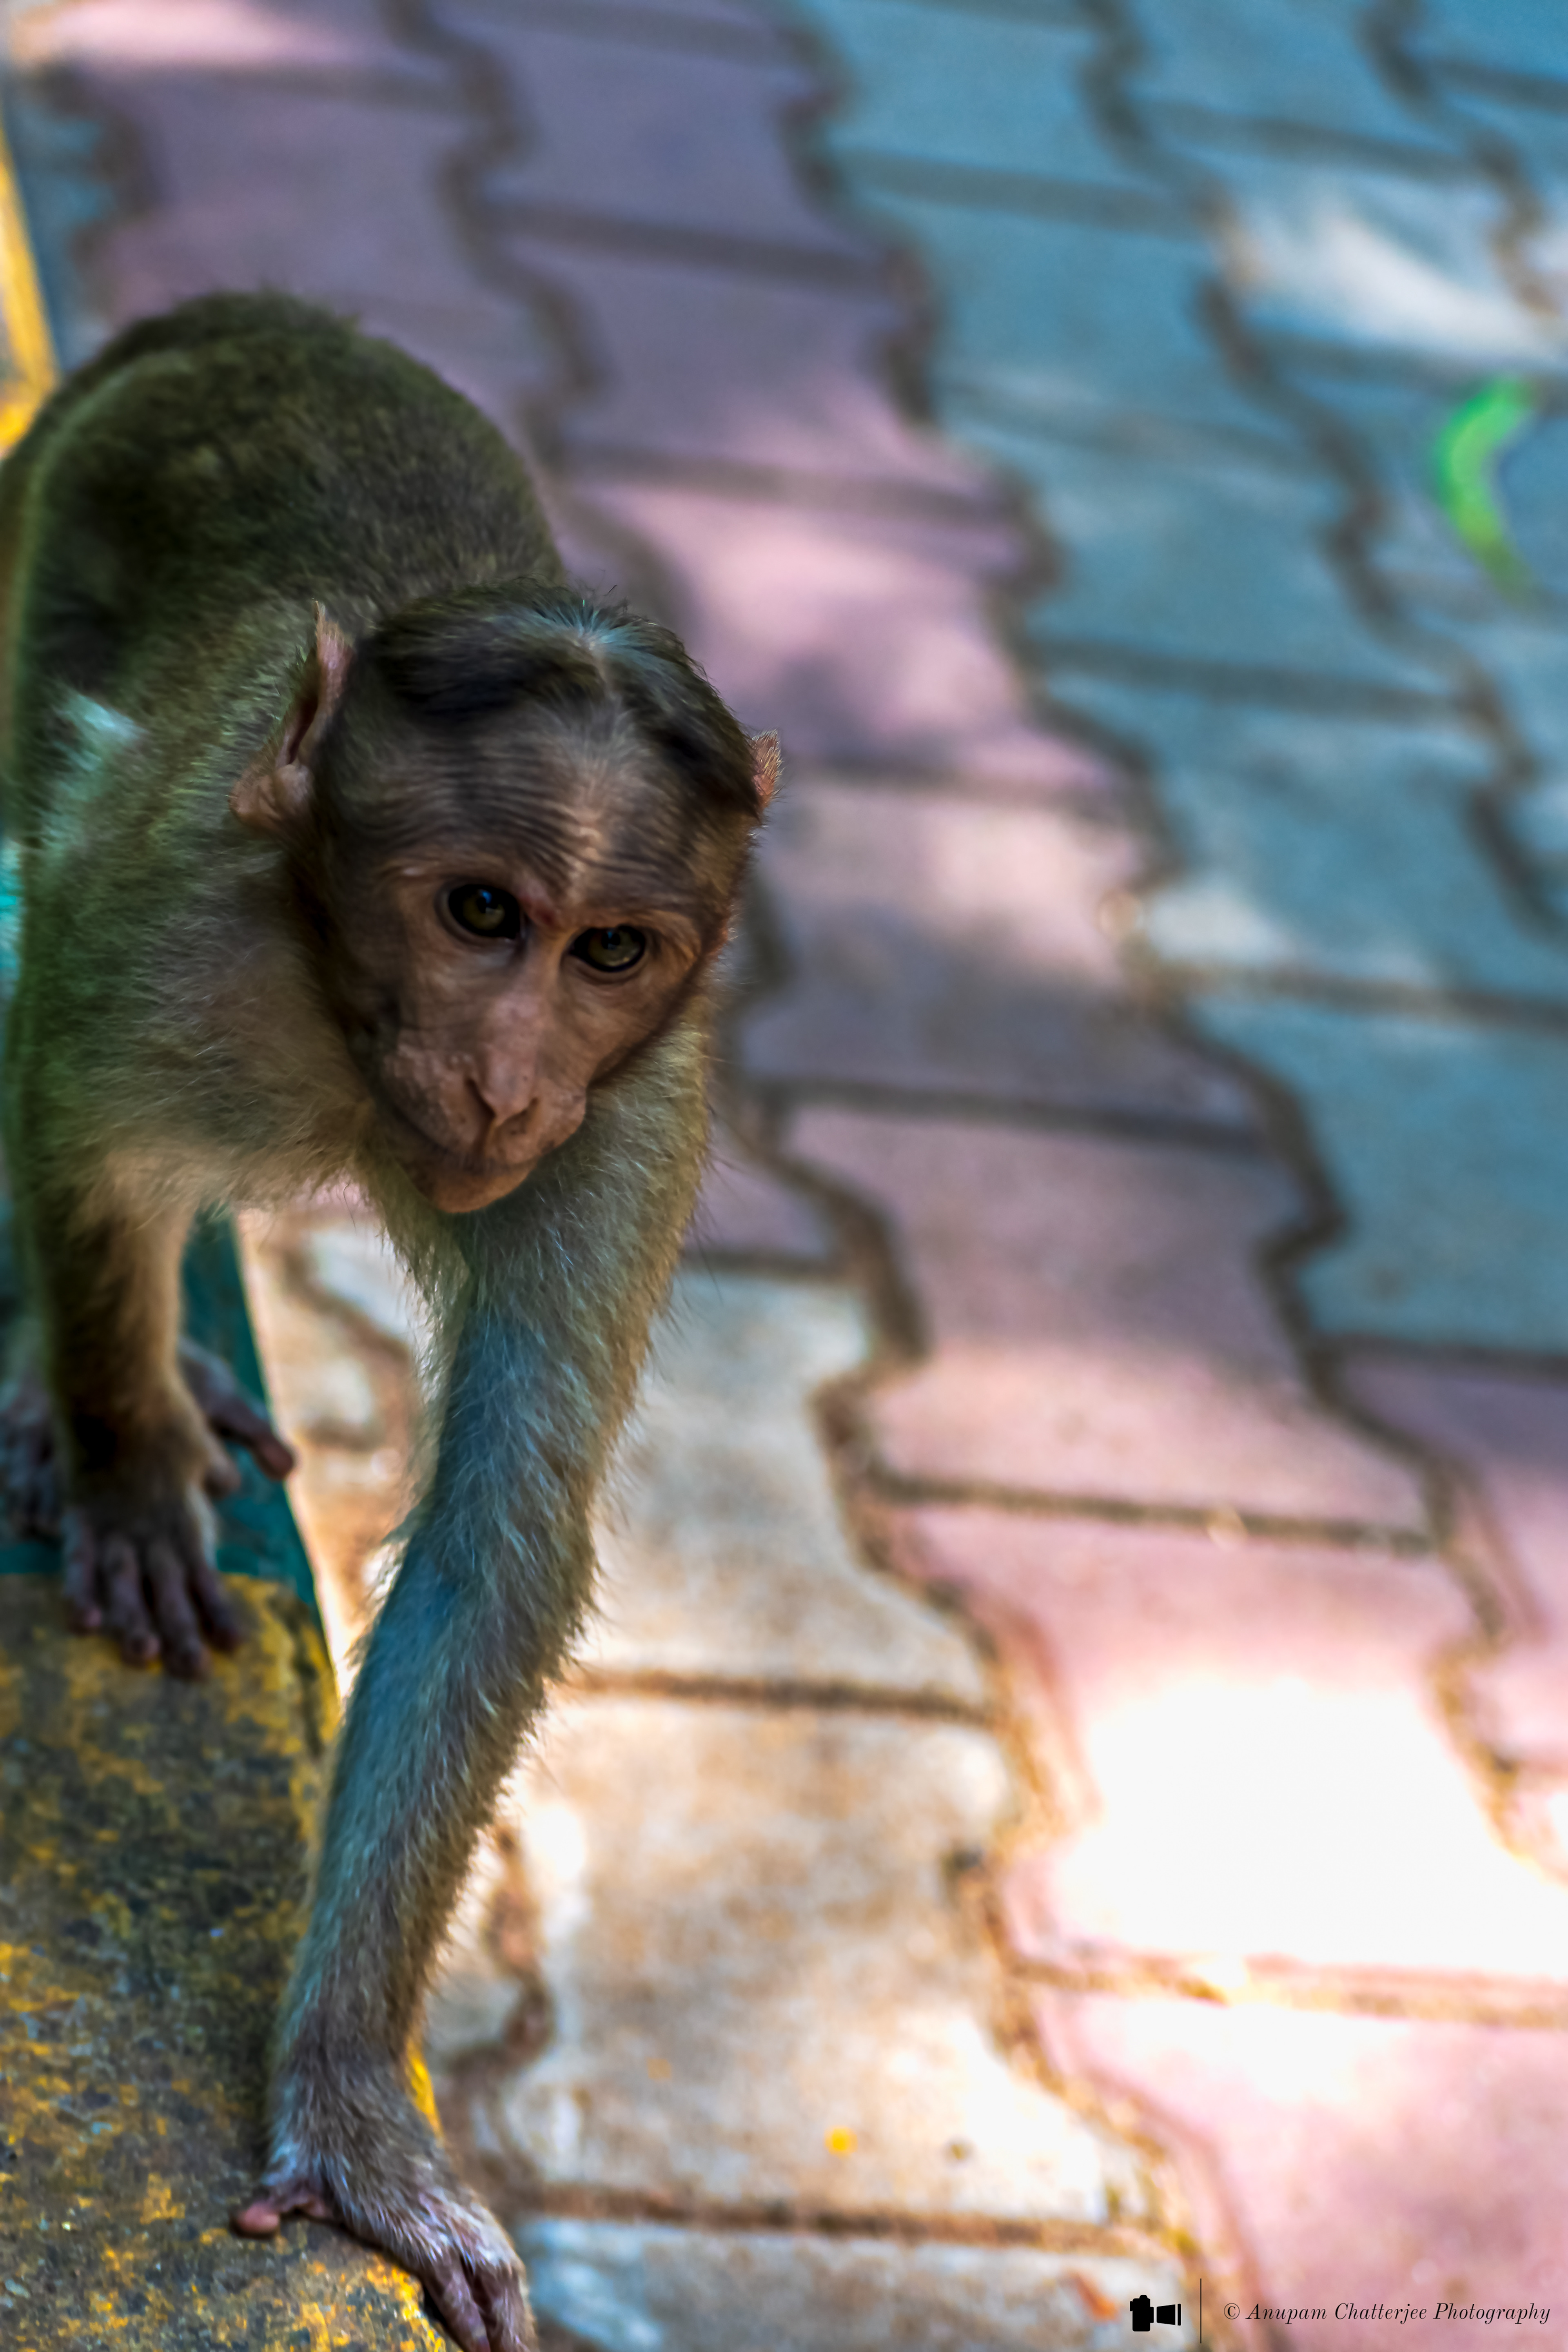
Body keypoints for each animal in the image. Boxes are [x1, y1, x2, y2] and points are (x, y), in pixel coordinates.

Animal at [0, 292, 776, 2352]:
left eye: (608, 950)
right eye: (480, 911)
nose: (507, 1082)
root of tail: (255, 320)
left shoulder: (625, 1119)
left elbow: (502, 1538)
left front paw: (351, 2113)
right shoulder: (171, 935)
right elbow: (78, 1123)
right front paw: (118, 1454)